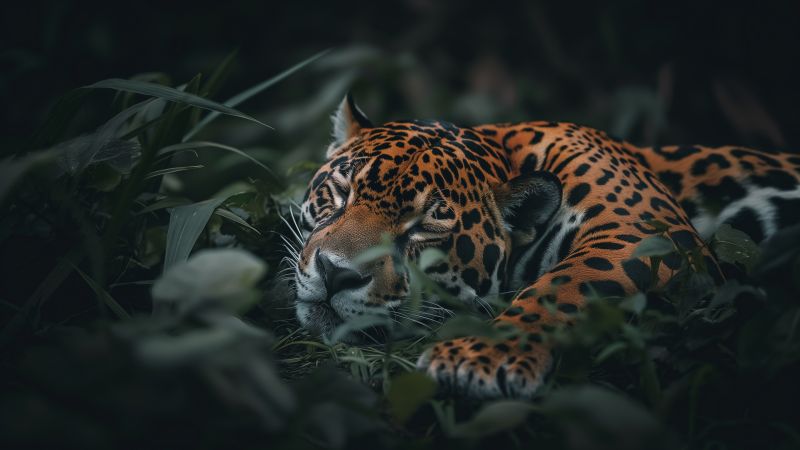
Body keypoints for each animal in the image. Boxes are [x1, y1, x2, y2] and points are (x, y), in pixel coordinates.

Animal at [289, 94, 800, 399]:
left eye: (424, 228)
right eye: (340, 192)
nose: (336, 273)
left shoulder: (647, 233)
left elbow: (565, 285)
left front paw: (477, 358)